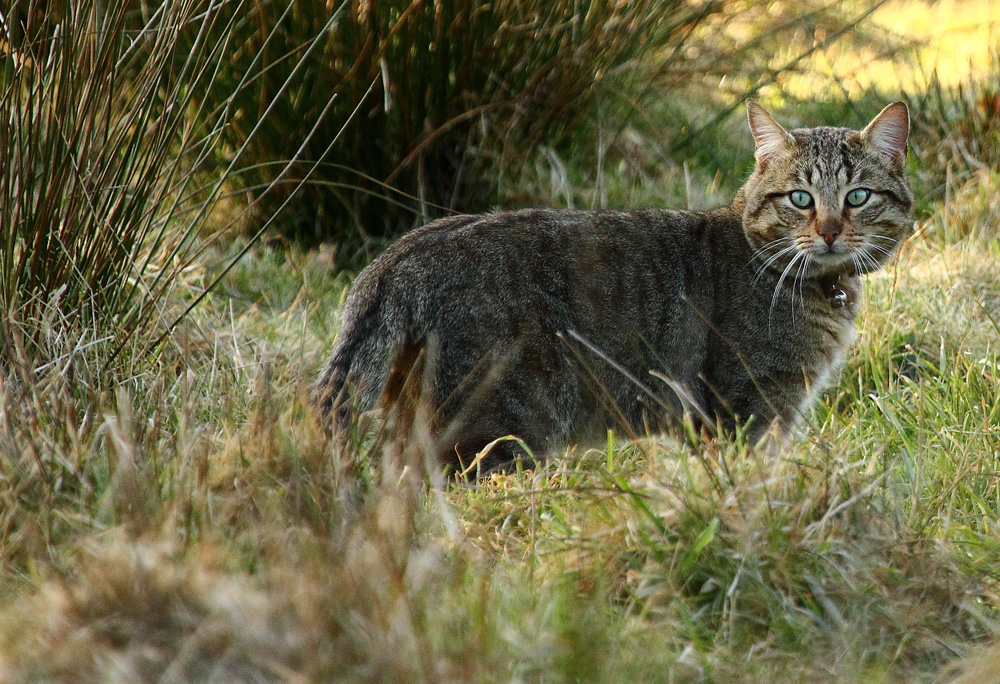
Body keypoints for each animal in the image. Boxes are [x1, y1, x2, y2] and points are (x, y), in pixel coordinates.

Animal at [314, 101, 916, 472]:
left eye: (857, 197)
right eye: (800, 199)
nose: (831, 231)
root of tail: (397, 257)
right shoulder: (749, 409)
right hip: (497, 429)